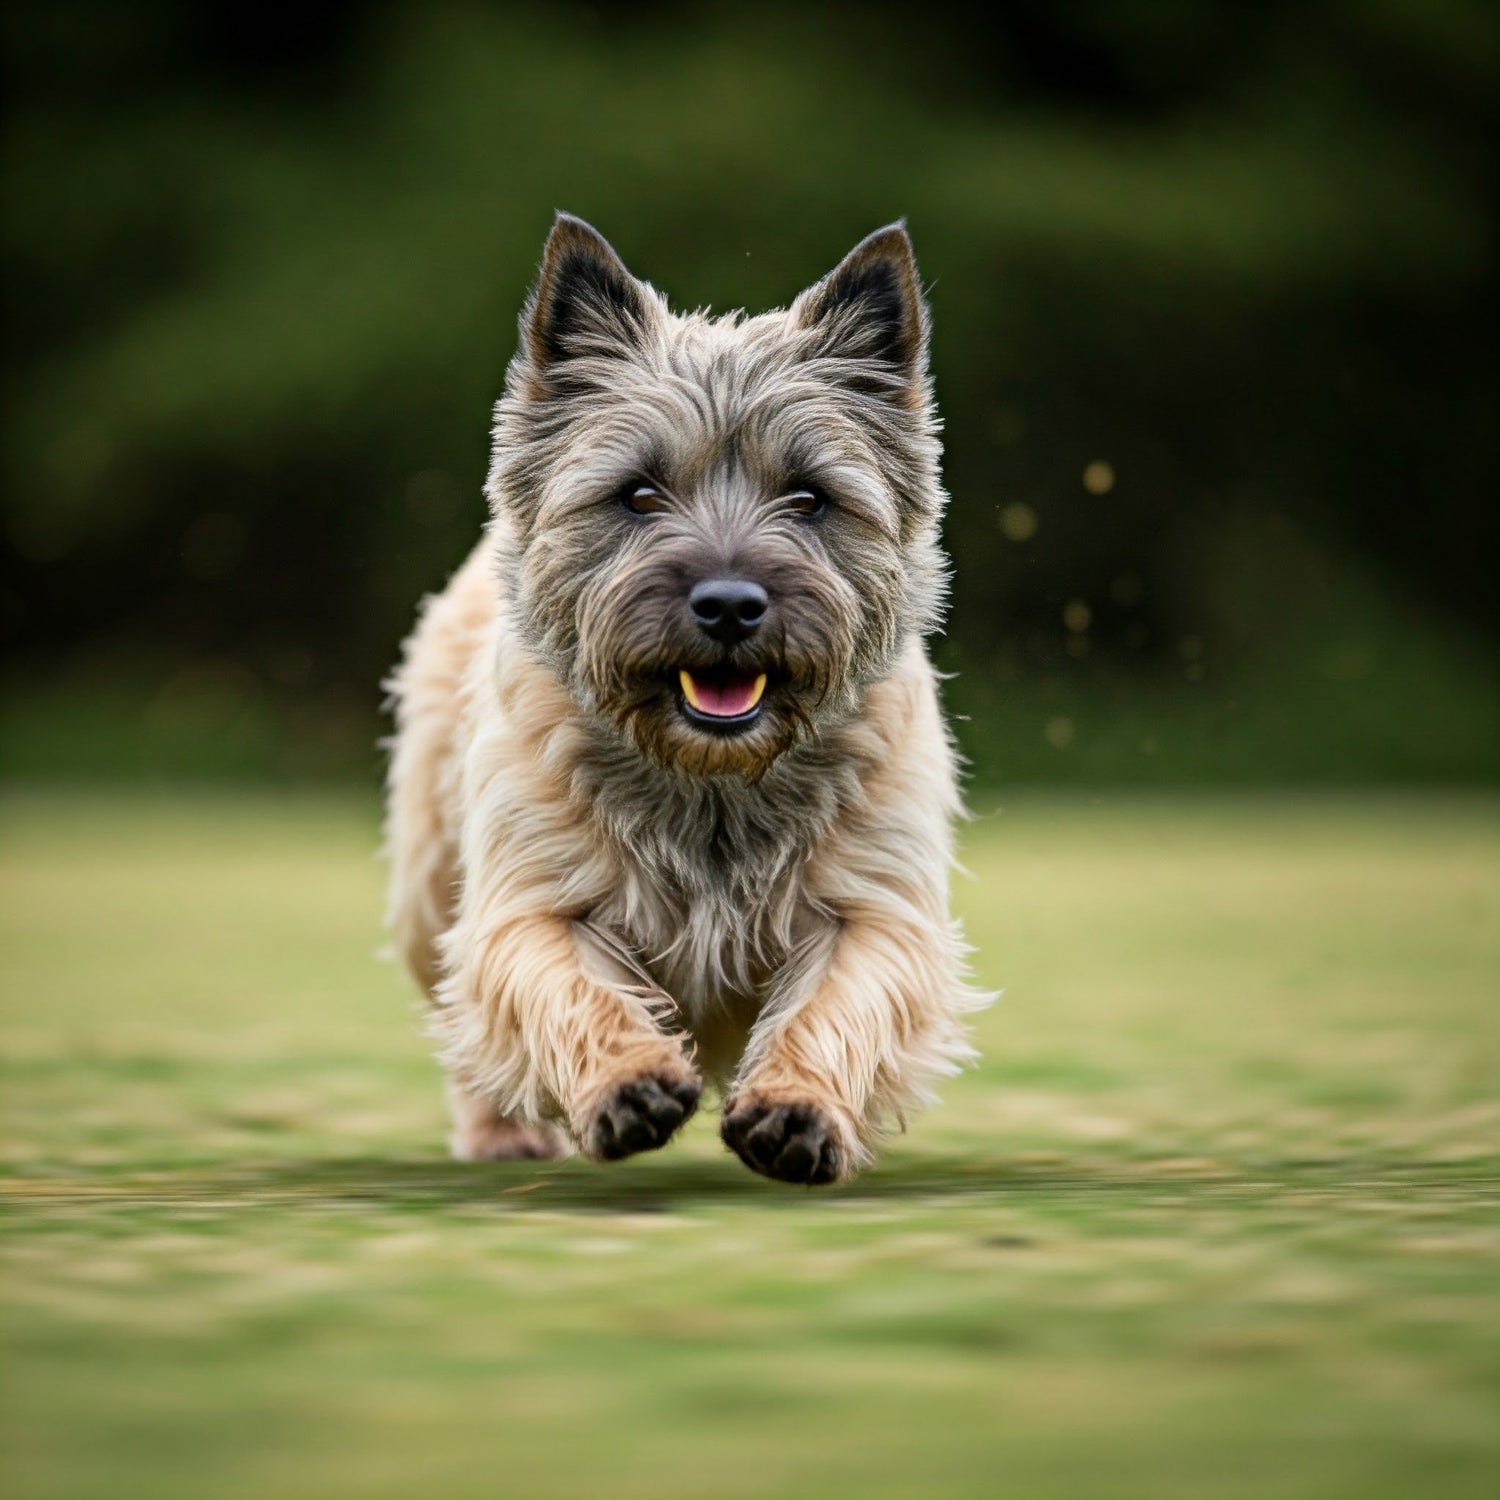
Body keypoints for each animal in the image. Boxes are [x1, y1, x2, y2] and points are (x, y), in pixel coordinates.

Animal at [381, 211, 978, 1182]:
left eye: (810, 498)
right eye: (637, 494)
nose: (730, 604)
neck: (714, 780)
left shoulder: (876, 905)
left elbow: (839, 1003)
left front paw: (796, 1109)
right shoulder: (530, 896)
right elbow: (561, 985)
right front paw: (628, 1082)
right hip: (431, 888)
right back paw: (502, 1131)